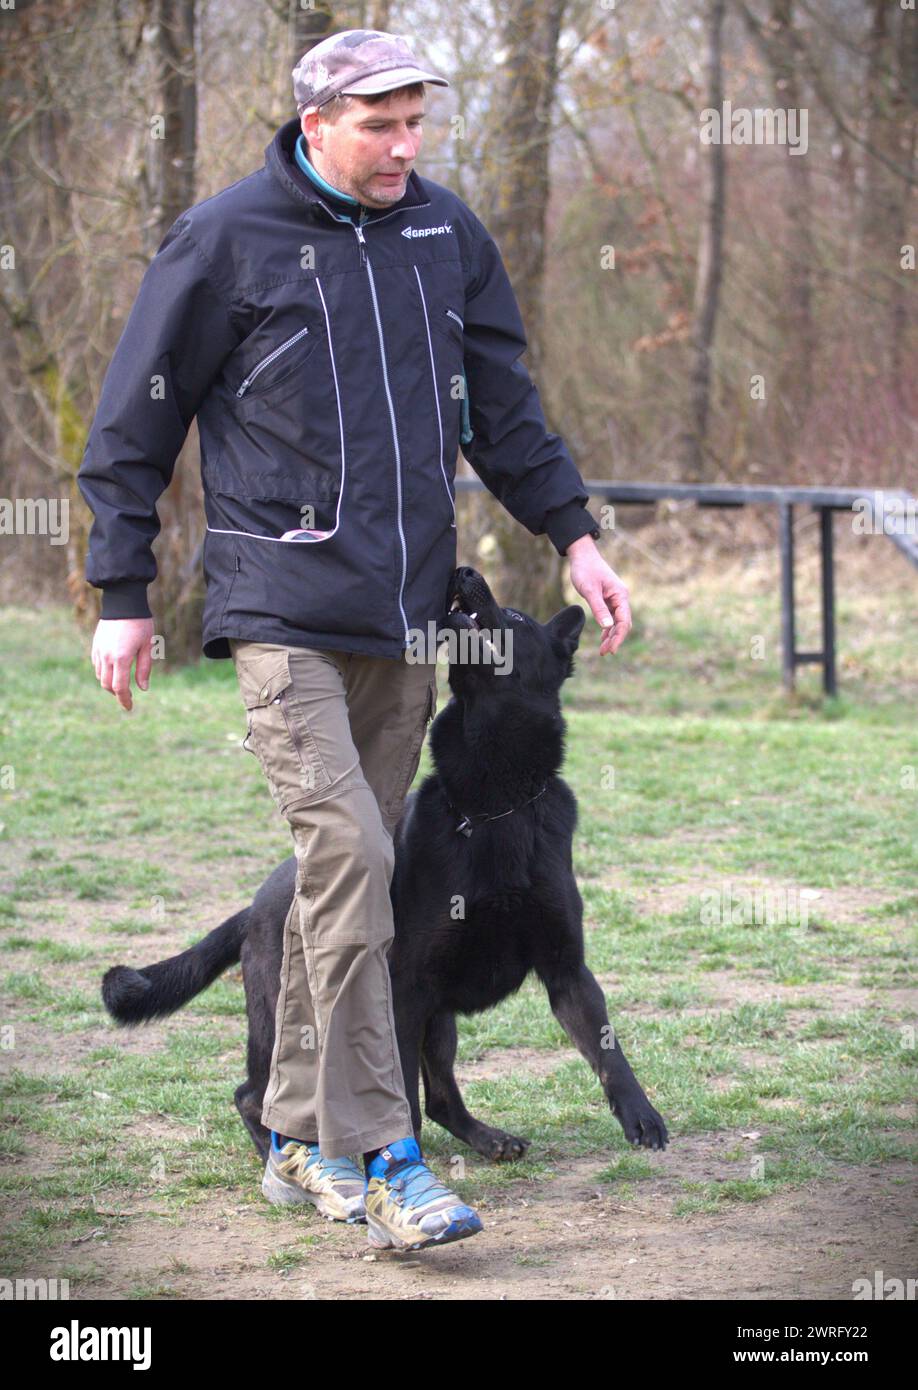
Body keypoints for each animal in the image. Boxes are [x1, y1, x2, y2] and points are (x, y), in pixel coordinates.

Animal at [104, 564, 667, 1162]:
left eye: (515, 618)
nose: (463, 570)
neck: (493, 804)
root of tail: (254, 905)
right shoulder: (404, 989)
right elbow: (401, 1102)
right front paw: (399, 1165)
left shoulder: (565, 969)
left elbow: (607, 1049)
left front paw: (642, 1118)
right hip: (301, 1015)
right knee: (254, 1094)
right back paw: (282, 1154)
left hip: (437, 1022)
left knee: (440, 1095)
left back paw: (488, 1139)